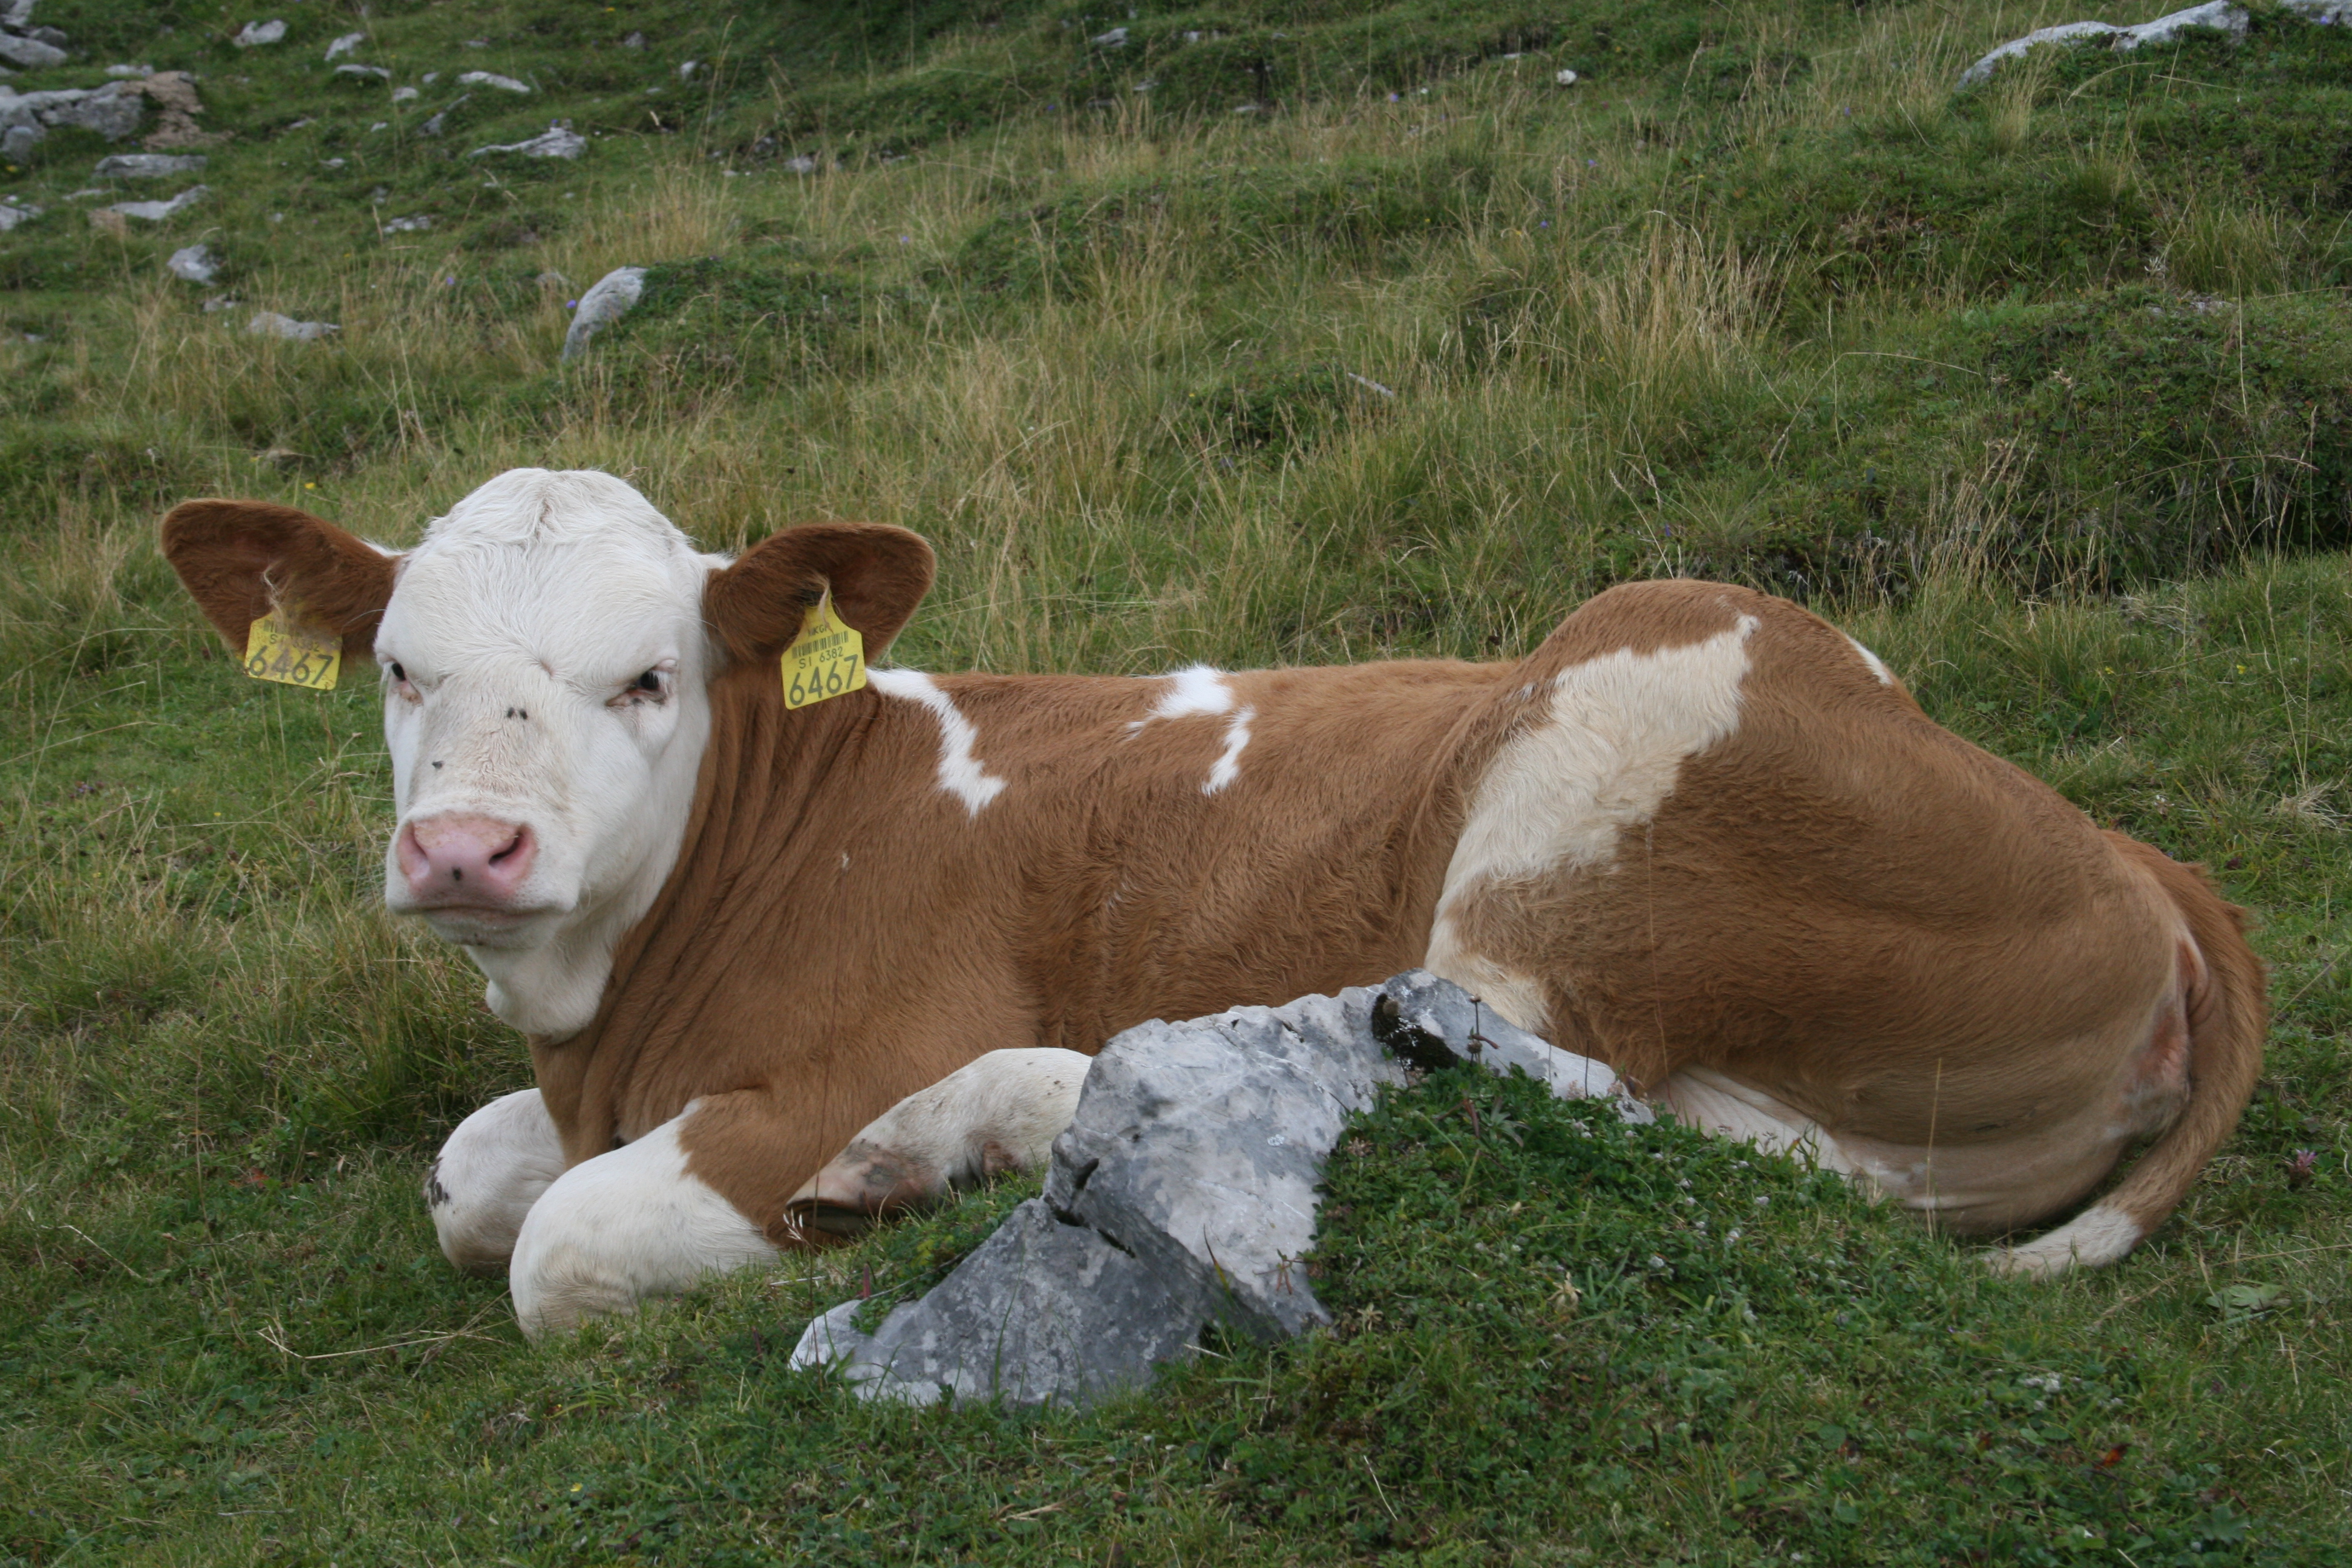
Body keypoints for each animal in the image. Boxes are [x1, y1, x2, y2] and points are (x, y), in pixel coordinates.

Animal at [159, 468, 2266, 1339]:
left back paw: (970, 1131)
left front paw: (859, 1198)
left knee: (1495, 1075)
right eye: (401, 670)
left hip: (1621, 715)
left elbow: (556, 1247)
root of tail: (2147, 863)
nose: (466, 853)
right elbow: (467, 1177)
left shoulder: (808, 1066)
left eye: (647, 679)